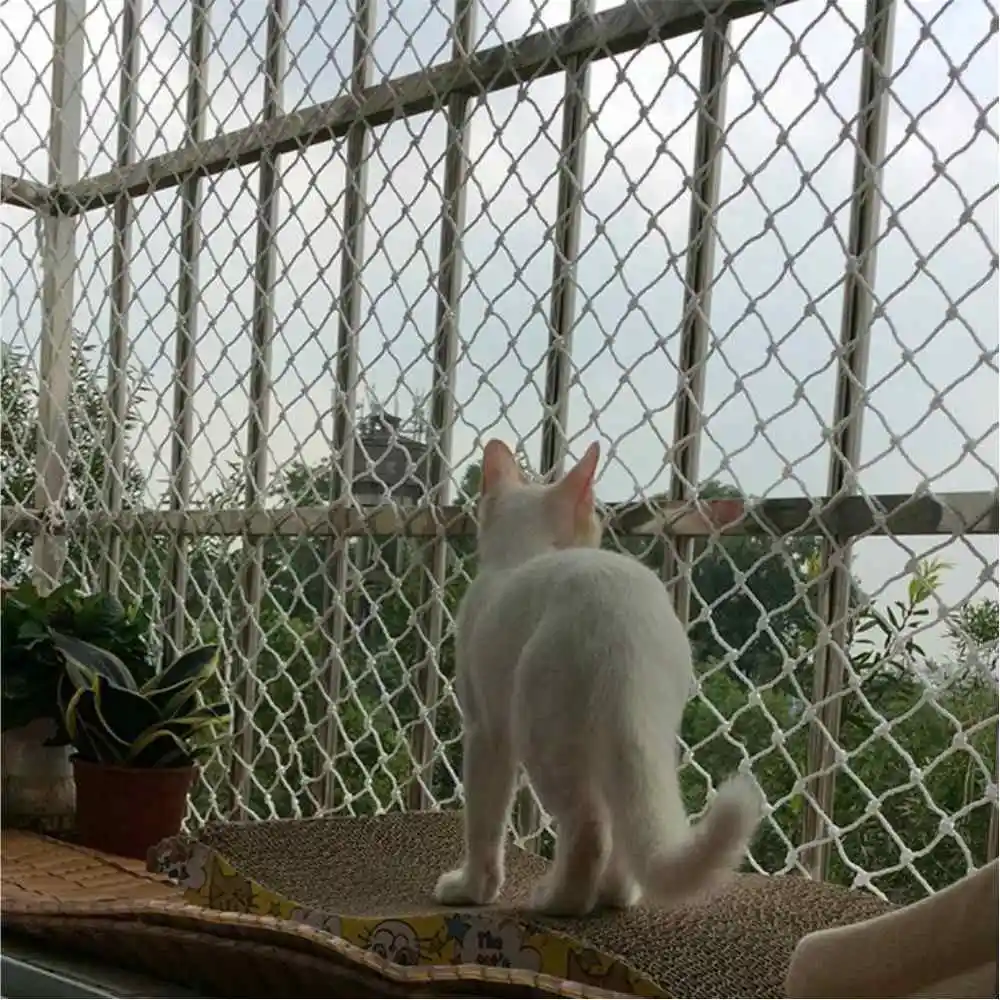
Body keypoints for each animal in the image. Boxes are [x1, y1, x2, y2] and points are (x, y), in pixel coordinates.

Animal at [434, 438, 761, 917]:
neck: (527, 550)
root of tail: (624, 629)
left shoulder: (485, 730)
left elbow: (484, 820)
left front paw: (472, 889)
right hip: (633, 738)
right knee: (622, 825)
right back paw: (613, 896)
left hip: (542, 733)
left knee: (589, 829)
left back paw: (559, 901)